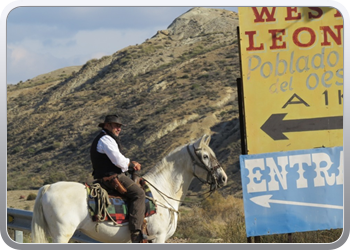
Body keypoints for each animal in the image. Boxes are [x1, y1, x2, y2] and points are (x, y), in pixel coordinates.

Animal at [31, 134, 228, 243]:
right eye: (205, 156)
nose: (223, 178)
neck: (162, 193)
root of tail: (47, 188)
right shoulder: (157, 237)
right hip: (61, 235)